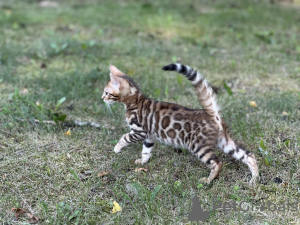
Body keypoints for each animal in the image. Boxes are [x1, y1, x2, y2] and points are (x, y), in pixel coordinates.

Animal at [102, 63, 258, 185]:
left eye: (107, 92)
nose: (102, 98)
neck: (136, 101)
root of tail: (212, 114)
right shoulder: (149, 136)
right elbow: (146, 150)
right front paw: (143, 162)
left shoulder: (139, 131)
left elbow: (124, 137)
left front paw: (117, 148)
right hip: (225, 142)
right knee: (248, 155)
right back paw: (254, 179)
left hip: (197, 145)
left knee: (217, 162)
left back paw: (209, 180)